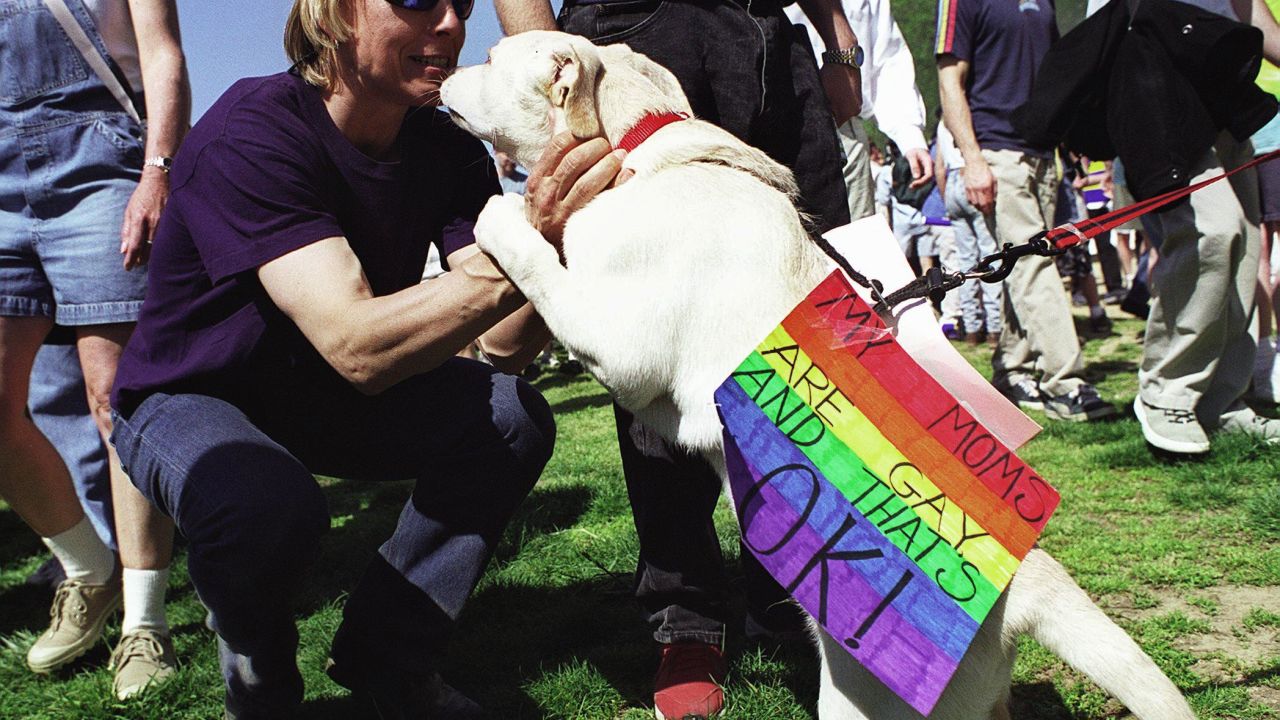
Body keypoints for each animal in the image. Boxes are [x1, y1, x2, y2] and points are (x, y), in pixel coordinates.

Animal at [442, 32, 1198, 717]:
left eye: (490, 56)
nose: (445, 72)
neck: (636, 155)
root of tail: (1029, 588)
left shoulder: (615, 338)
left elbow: (535, 258)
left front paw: (497, 215)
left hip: (859, 700)